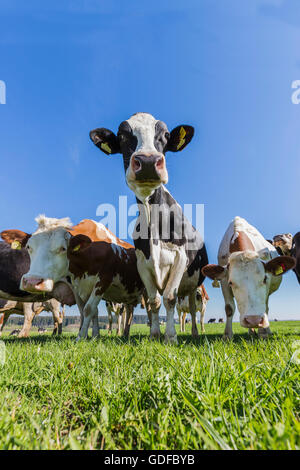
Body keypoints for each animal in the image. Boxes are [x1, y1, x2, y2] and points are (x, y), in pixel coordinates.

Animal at [17, 215, 146, 340]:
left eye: (63, 248)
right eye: (28, 247)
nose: (32, 282)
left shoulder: (103, 281)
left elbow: (88, 309)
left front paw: (80, 337)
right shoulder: (77, 286)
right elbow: (89, 311)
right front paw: (94, 336)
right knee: (129, 312)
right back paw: (125, 334)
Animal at [89, 112, 209, 344]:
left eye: (166, 135)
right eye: (122, 136)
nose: (147, 161)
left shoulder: (180, 257)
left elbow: (170, 298)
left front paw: (170, 337)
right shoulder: (143, 264)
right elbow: (154, 301)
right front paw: (155, 335)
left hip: (193, 284)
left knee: (191, 307)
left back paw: (194, 333)